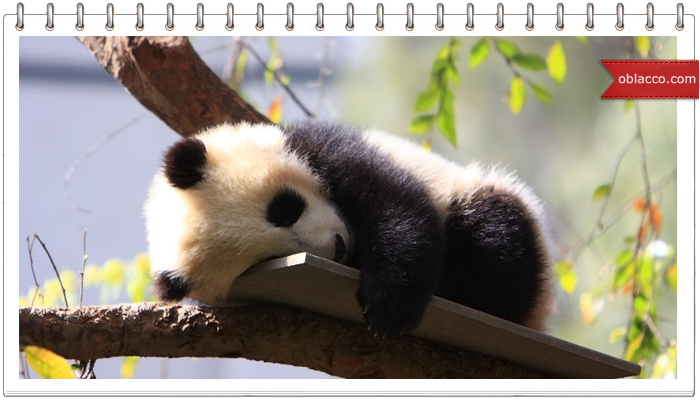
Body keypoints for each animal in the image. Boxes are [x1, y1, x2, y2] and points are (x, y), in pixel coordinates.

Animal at [145, 120, 552, 335]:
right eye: (269, 258)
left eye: (284, 209)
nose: (339, 248)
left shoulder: (325, 149)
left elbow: (396, 205)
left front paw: (389, 307)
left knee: (494, 236)